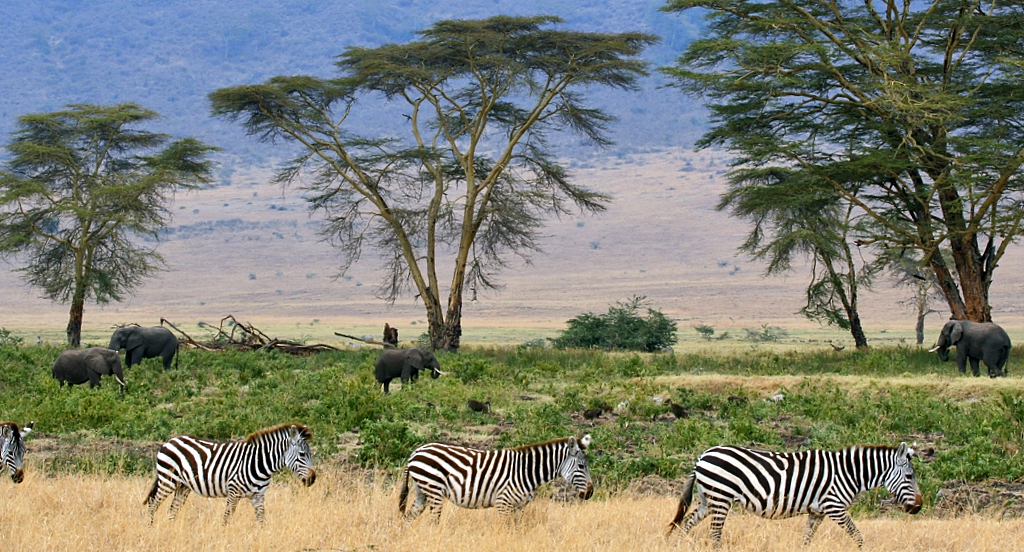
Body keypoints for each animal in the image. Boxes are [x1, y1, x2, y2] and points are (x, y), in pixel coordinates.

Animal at [142, 423, 313, 528]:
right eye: (302, 454)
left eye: (310, 454)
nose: (312, 479)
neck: (258, 463)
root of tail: (170, 440)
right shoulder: (233, 492)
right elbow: (227, 518)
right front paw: (223, 535)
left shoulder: (258, 496)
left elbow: (261, 520)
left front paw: (263, 536)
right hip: (168, 480)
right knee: (153, 504)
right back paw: (150, 528)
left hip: (183, 486)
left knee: (172, 509)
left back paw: (173, 529)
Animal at [397, 434, 598, 520]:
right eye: (581, 466)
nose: (590, 493)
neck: (527, 471)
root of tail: (415, 452)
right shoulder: (504, 503)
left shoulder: (519, 507)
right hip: (434, 489)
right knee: (433, 520)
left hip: (422, 490)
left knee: (408, 517)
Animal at [667, 442, 925, 544]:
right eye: (909, 477)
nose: (919, 507)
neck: (848, 474)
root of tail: (702, 456)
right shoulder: (834, 507)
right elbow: (857, 535)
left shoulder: (818, 511)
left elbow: (807, 538)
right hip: (721, 496)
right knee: (715, 533)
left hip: (707, 498)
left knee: (687, 523)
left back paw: (679, 545)